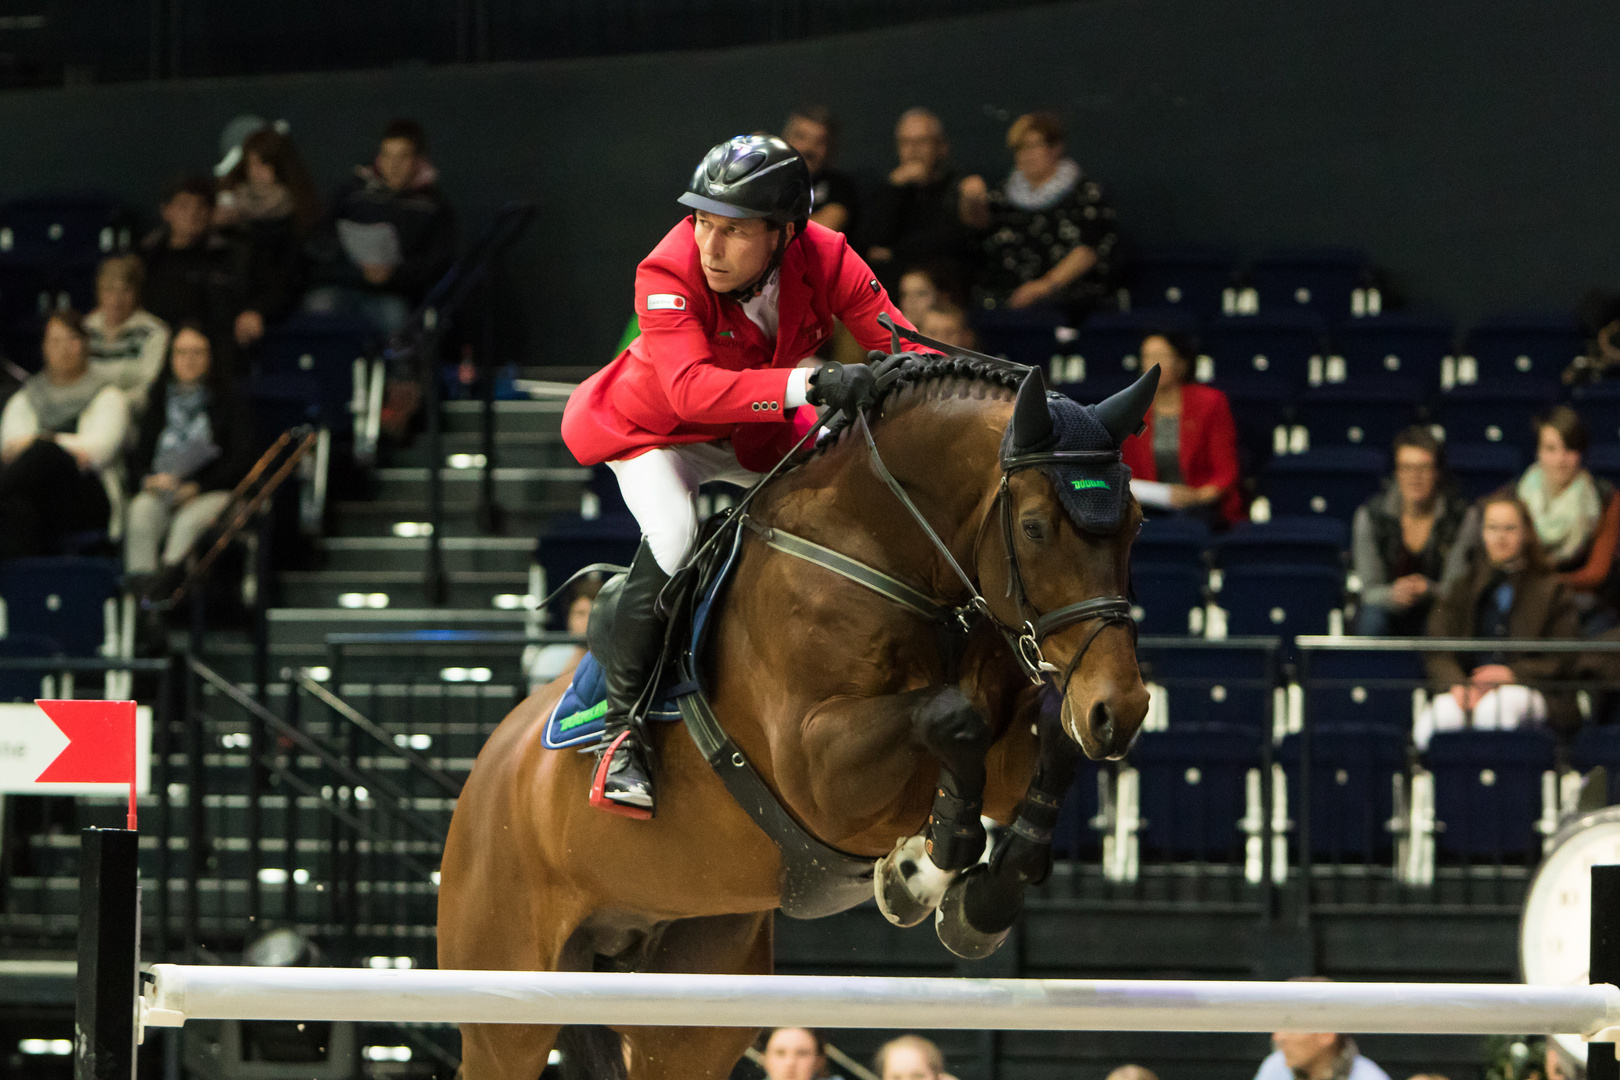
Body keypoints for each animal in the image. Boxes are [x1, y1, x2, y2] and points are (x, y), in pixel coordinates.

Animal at [440, 359, 1153, 1075]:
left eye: (1138, 525)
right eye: (1033, 527)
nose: (1121, 710)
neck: (881, 553)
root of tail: (486, 771)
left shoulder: (1005, 755)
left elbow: (1049, 745)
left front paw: (980, 898)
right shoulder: (822, 776)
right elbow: (951, 717)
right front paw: (924, 864)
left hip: (688, 1004)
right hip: (505, 1006)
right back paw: (625, 766)